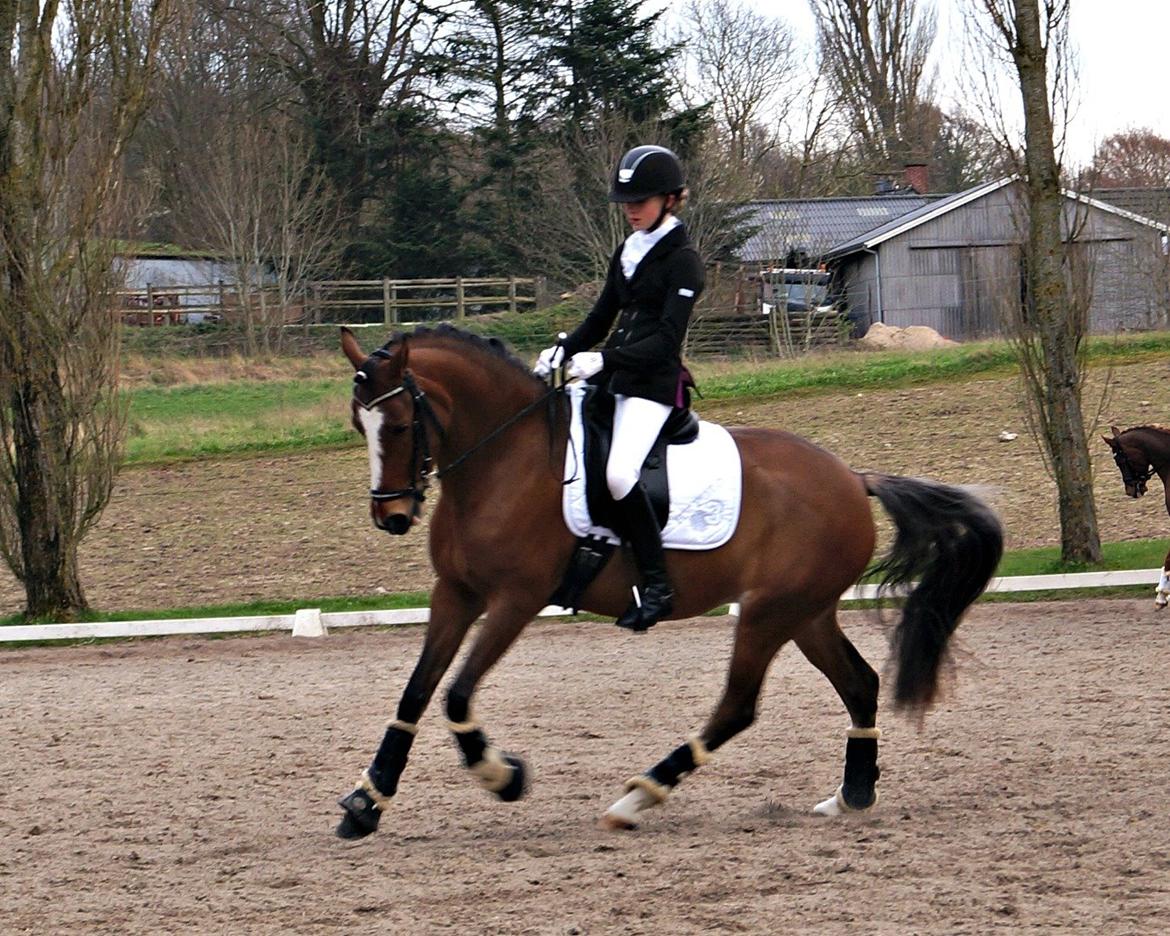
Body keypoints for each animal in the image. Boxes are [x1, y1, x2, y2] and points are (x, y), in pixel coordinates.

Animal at [334, 324, 1004, 838]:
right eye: (359, 425)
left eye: (399, 425)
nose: (392, 517)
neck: (505, 461)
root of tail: (851, 477)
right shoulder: (455, 593)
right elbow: (416, 692)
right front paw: (367, 804)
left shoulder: (515, 601)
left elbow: (456, 694)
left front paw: (503, 776)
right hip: (806, 612)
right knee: (860, 685)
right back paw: (851, 795)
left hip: (769, 612)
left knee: (737, 706)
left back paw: (637, 797)